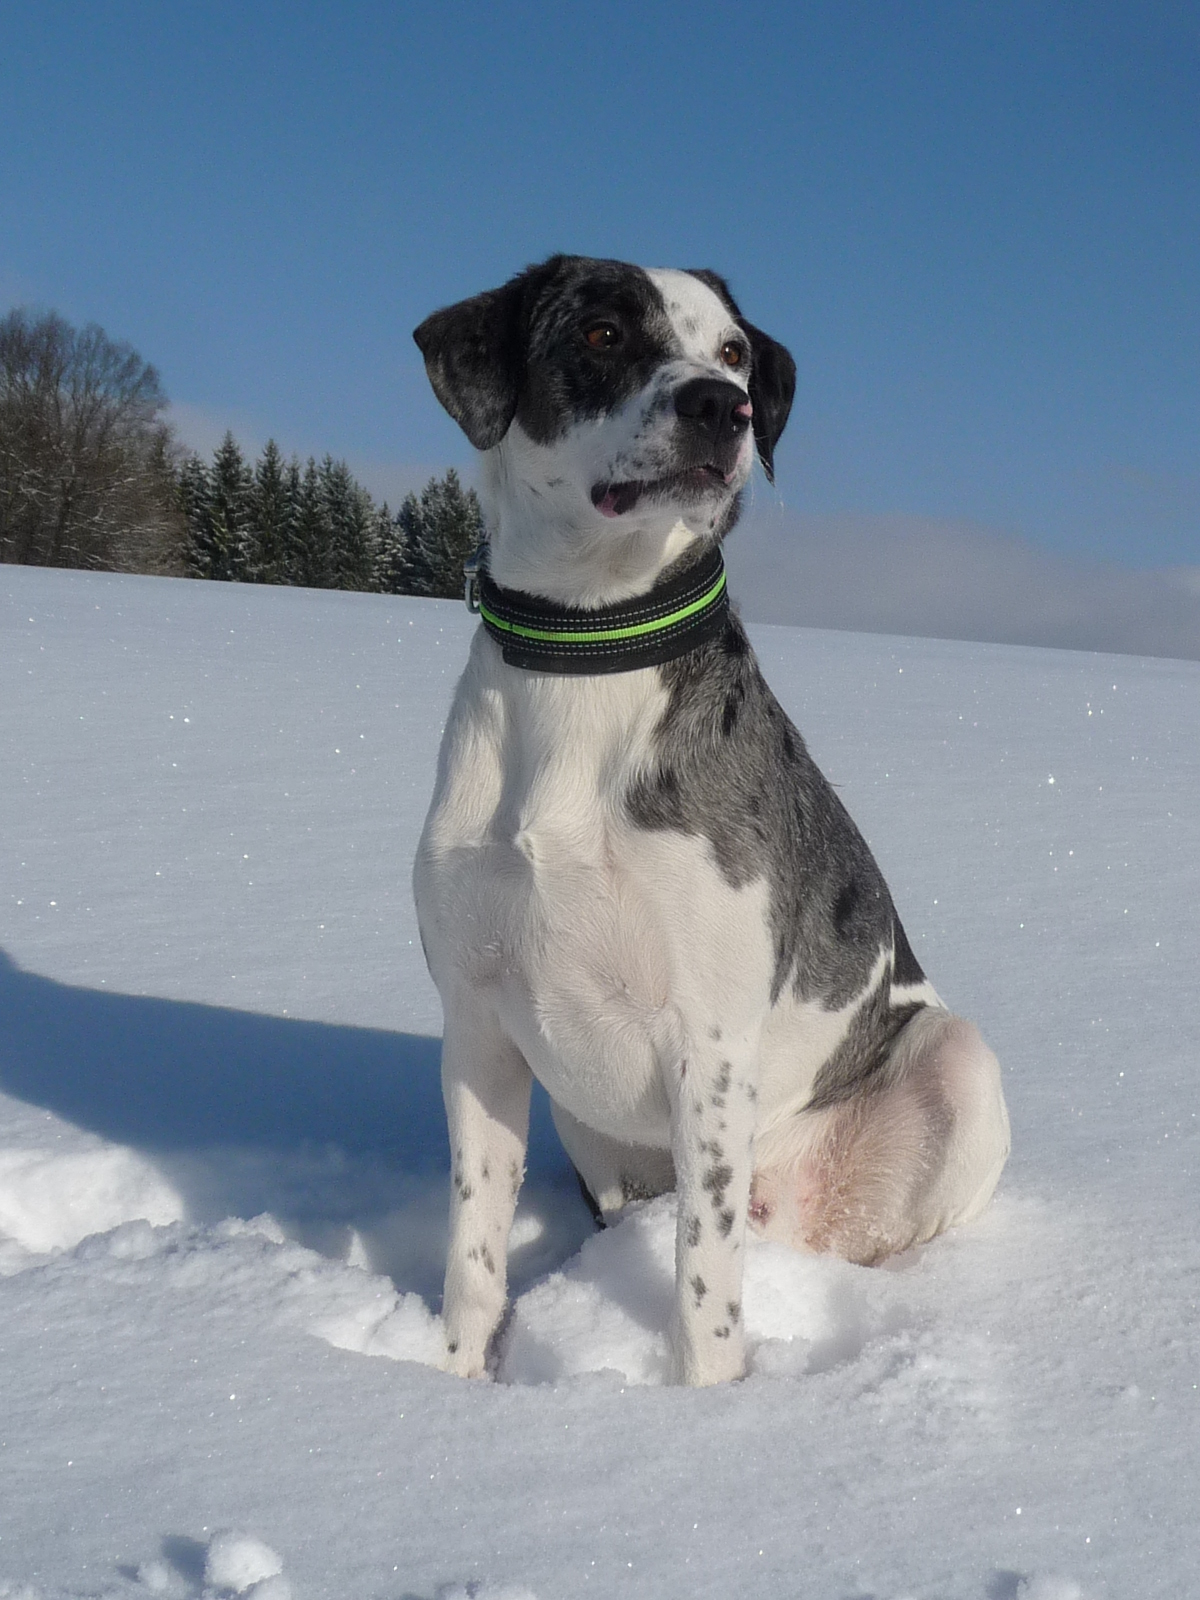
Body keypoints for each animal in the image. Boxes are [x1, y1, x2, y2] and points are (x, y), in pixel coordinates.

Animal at [412, 256, 1017, 1382]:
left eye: (733, 351)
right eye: (602, 333)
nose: (720, 407)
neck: (586, 649)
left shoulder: (710, 1039)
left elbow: (703, 1283)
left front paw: (710, 1405)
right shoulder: (476, 1025)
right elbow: (473, 1250)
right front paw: (453, 1381)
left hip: (955, 1065)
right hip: (587, 1122)